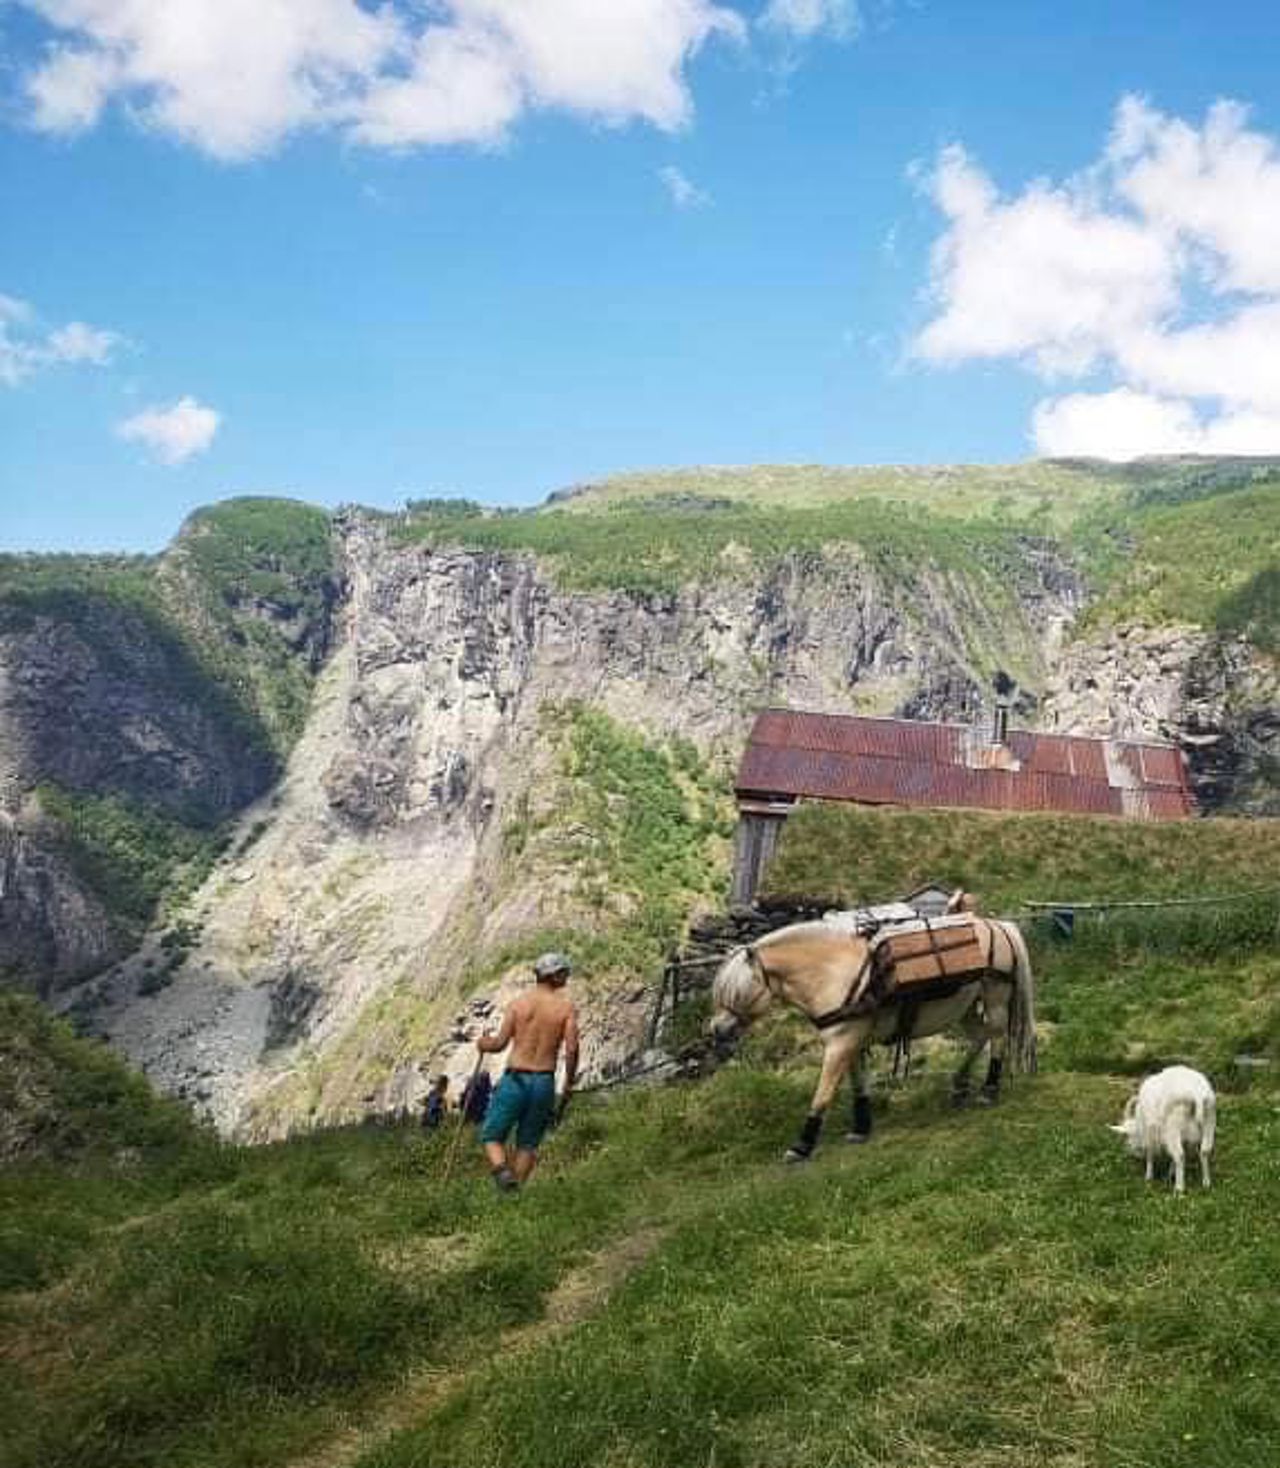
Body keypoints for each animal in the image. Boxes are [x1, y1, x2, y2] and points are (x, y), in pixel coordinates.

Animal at [704, 916, 1033, 1156]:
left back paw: (989, 1089)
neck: (832, 974)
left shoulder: (840, 1044)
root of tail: (998, 925)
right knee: (980, 1036)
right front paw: (861, 1127)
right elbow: (858, 1084)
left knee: (997, 1038)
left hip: (995, 997)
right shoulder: (850, 1041)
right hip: (964, 1008)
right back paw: (960, 1084)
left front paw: (803, 1145)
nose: (717, 1030)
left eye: (737, 989)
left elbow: (823, 1093)